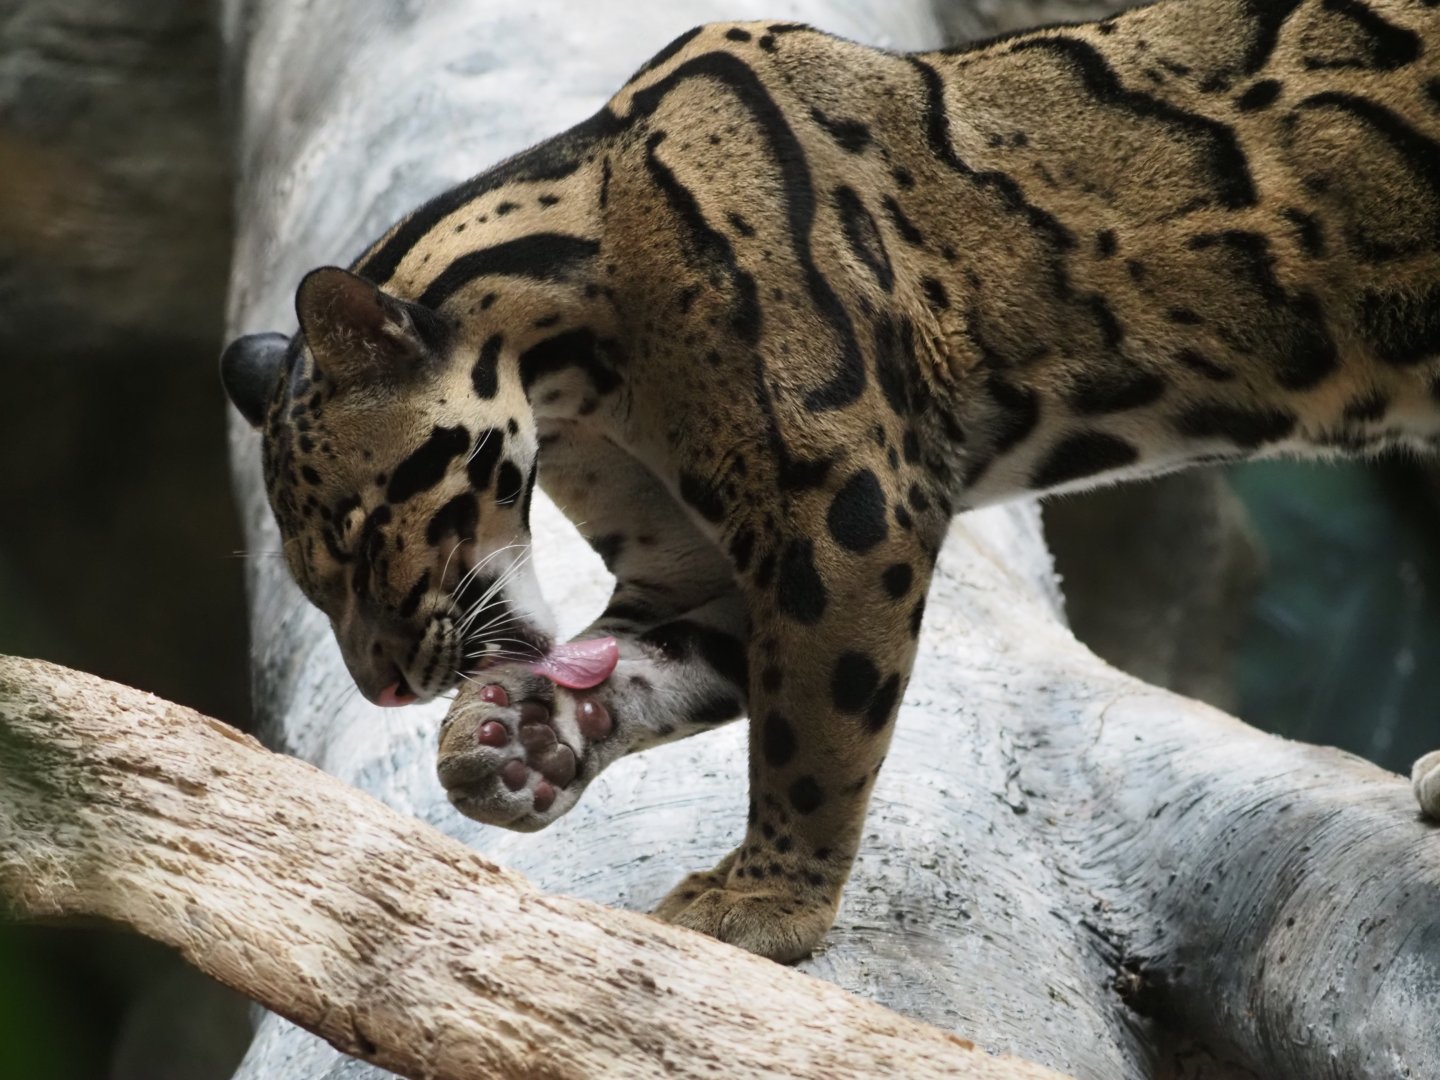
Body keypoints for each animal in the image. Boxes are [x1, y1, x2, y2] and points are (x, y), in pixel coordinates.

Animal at [221, 0, 1440, 963]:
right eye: (306, 575)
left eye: (361, 533)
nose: (383, 687)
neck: (580, 370)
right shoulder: (695, 566)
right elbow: (654, 666)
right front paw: (515, 740)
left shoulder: (845, 505)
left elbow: (816, 728)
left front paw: (766, 901)